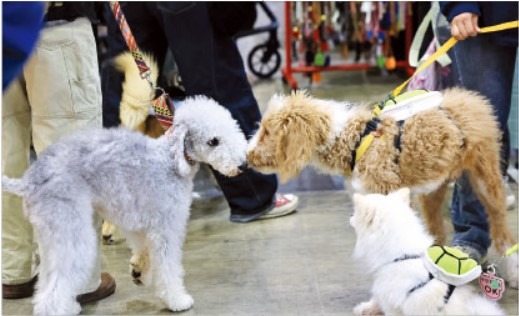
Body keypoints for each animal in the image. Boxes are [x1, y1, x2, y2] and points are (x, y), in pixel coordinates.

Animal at [2, 97, 249, 316]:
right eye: (213, 141)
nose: (242, 165)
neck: (170, 160)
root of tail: (28, 182)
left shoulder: (138, 223)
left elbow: (143, 249)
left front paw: (139, 271)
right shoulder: (166, 227)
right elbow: (168, 267)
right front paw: (177, 300)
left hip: (51, 237)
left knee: (46, 280)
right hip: (71, 231)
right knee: (52, 293)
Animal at [350, 189, 504, 314]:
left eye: (355, 214)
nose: (350, 217)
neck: (403, 256)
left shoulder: (392, 302)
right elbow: (376, 299)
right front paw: (365, 308)